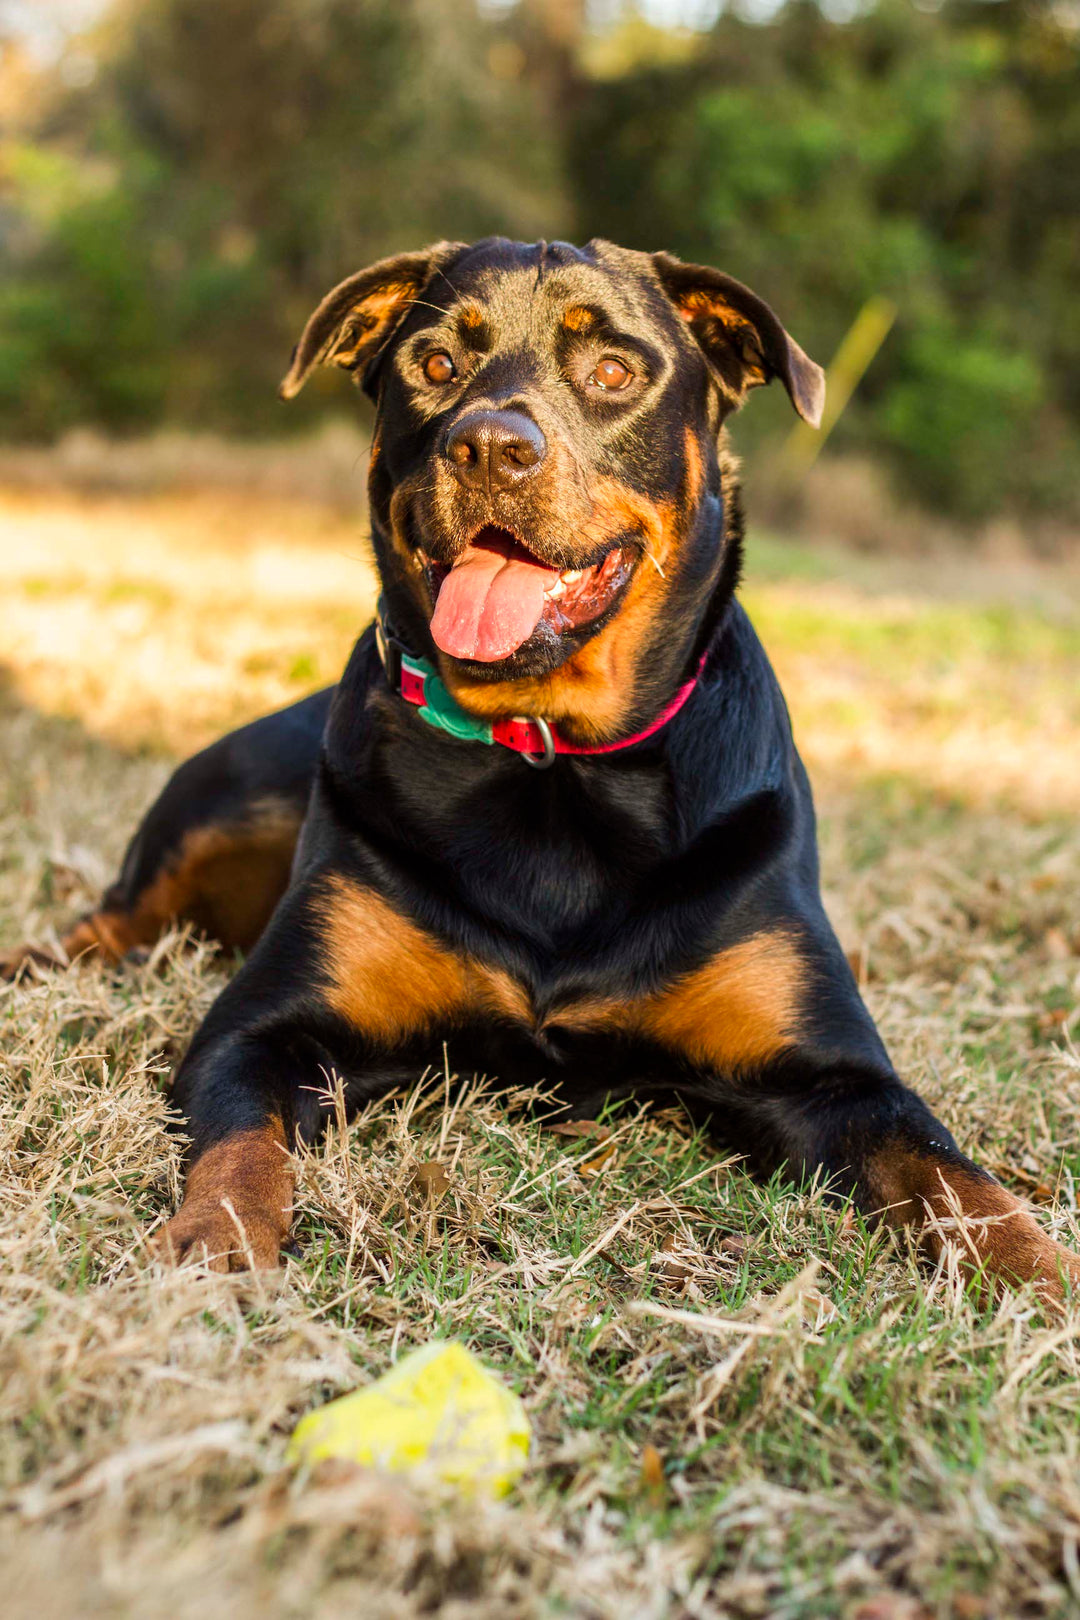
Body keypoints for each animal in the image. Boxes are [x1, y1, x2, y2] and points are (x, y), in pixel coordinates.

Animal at [4, 236, 1075, 1302]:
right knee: (117, 917)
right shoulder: (263, 1031)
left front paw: (1042, 1274)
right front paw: (218, 1245)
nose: (489, 446)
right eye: (436, 364)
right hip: (230, 801)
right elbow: (241, 1146)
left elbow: (954, 1176)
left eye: (613, 372)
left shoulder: (837, 1080)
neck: (550, 755)